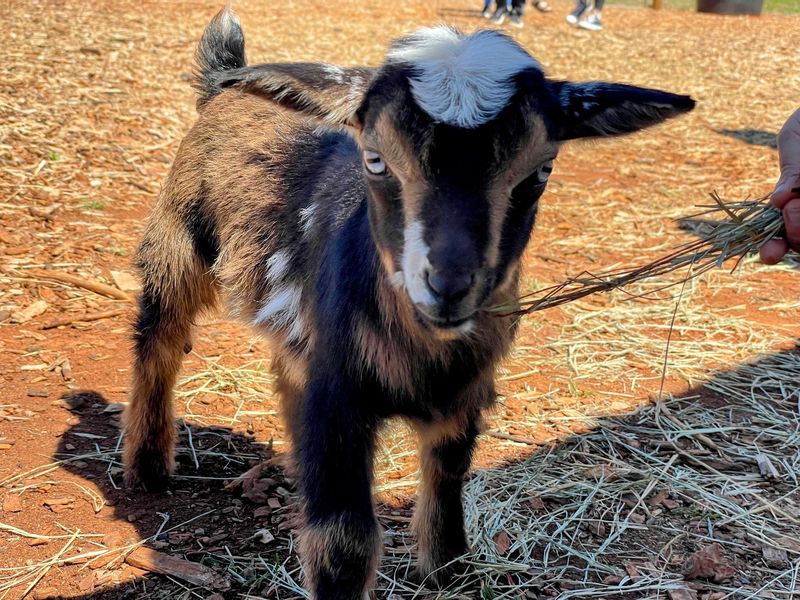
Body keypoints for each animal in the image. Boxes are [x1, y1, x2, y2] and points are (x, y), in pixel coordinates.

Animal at [123, 7, 694, 599]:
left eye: (541, 171)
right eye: (375, 159)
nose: (448, 284)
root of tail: (224, 81)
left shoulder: (463, 395)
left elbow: (447, 482)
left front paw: (448, 572)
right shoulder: (340, 402)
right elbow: (344, 542)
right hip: (178, 241)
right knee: (159, 340)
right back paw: (148, 467)